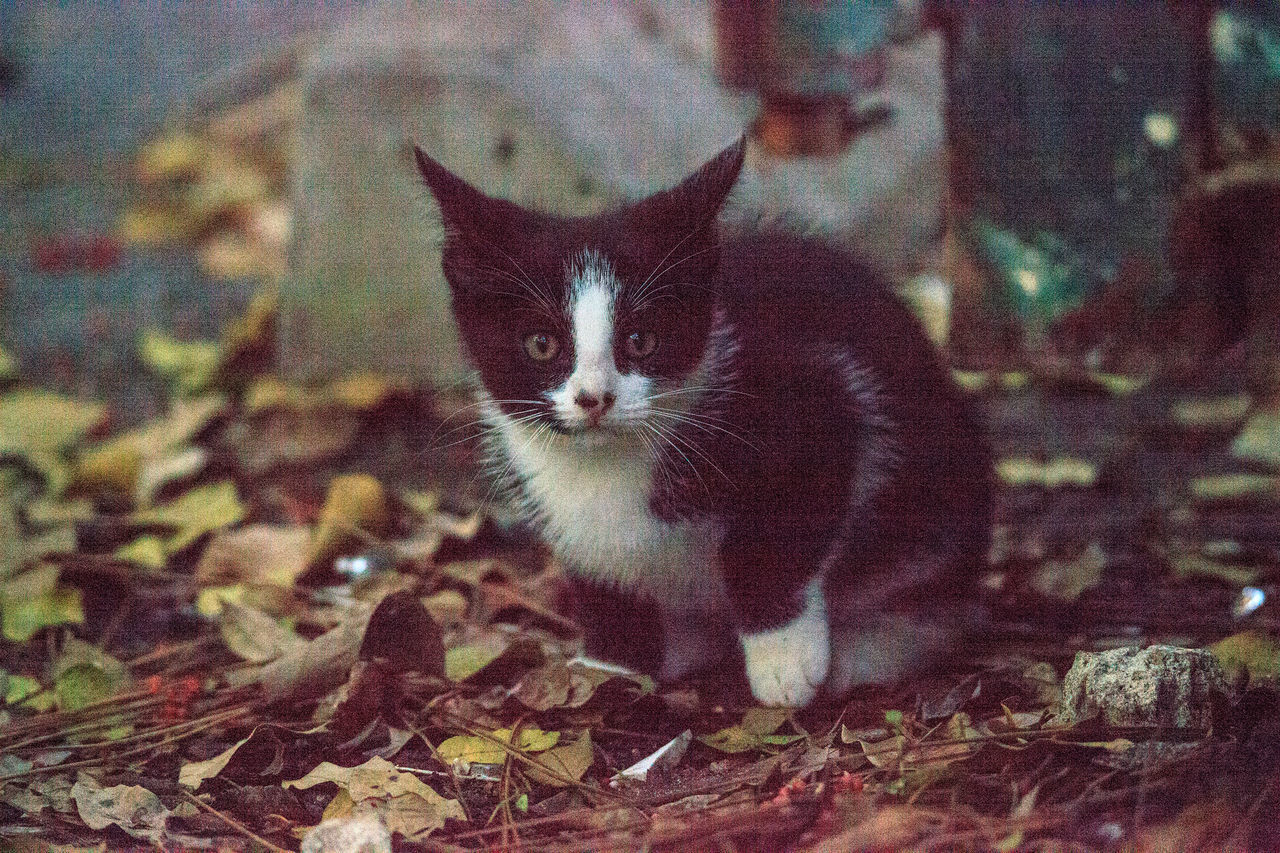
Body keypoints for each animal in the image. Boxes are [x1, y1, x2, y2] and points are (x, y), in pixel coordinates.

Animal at [414, 136, 993, 701]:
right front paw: (612, 666)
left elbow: (775, 536)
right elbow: (600, 571)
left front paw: (782, 657)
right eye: (541, 344)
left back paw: (869, 648)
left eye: (641, 340)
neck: (605, 464)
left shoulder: (822, 398)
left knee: (943, 600)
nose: (594, 398)